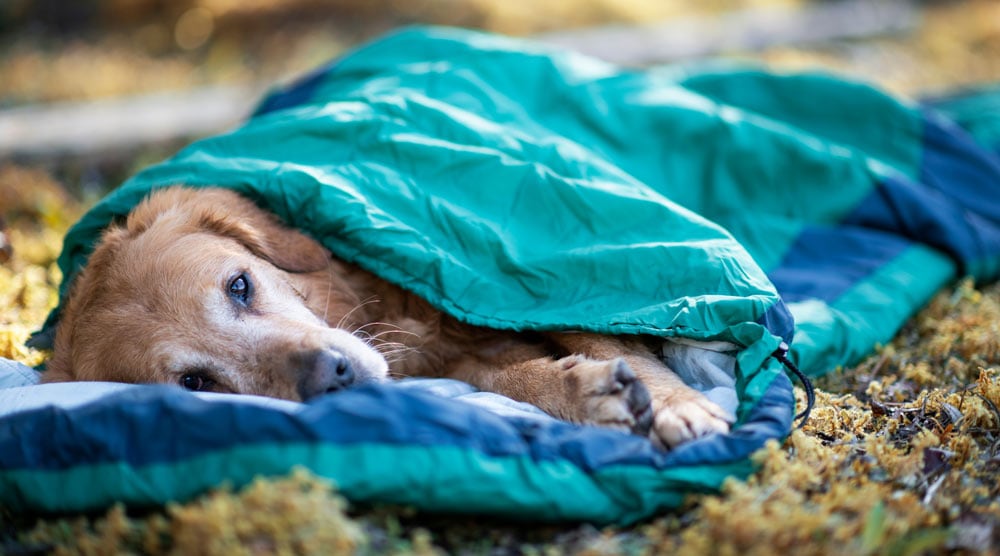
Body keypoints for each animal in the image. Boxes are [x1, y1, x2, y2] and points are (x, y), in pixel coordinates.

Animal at [47, 187, 732, 448]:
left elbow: (611, 337)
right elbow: (517, 377)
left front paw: (678, 407)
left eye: (239, 286)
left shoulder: (545, 286)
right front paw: (590, 393)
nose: (333, 376)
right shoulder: (464, 354)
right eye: (196, 383)